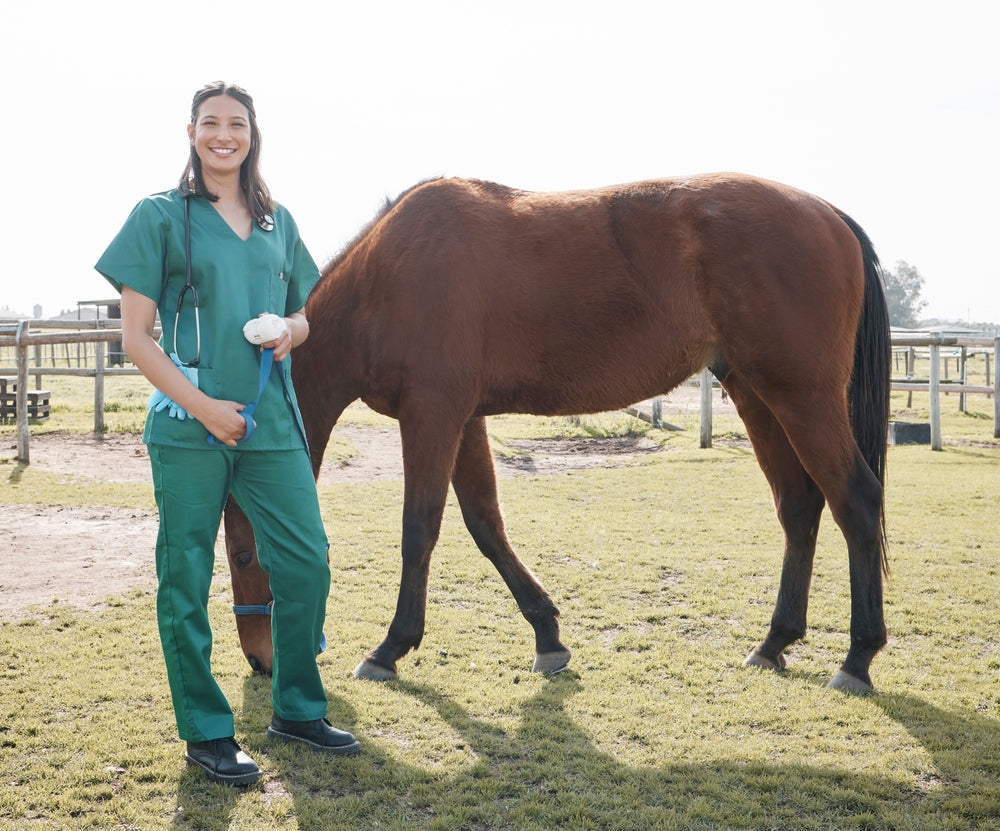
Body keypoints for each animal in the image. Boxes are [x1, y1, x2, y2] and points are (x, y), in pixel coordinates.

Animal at [223, 172, 891, 693]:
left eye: (242, 553)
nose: (259, 659)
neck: (386, 278)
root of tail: (825, 212)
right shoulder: (463, 419)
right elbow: (485, 523)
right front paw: (546, 634)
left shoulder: (432, 414)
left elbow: (420, 529)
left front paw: (389, 649)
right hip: (758, 394)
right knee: (799, 506)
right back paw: (775, 642)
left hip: (803, 397)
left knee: (855, 500)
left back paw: (858, 658)